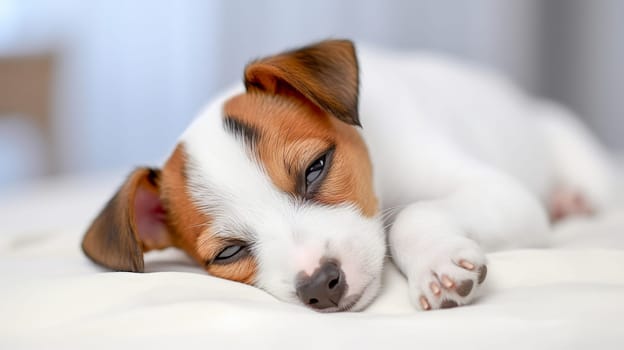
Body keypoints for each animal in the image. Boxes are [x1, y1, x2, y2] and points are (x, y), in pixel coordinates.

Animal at [83, 39, 616, 312]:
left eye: (316, 168)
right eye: (229, 252)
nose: (319, 285)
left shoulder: (504, 194)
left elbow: (413, 214)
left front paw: (436, 266)